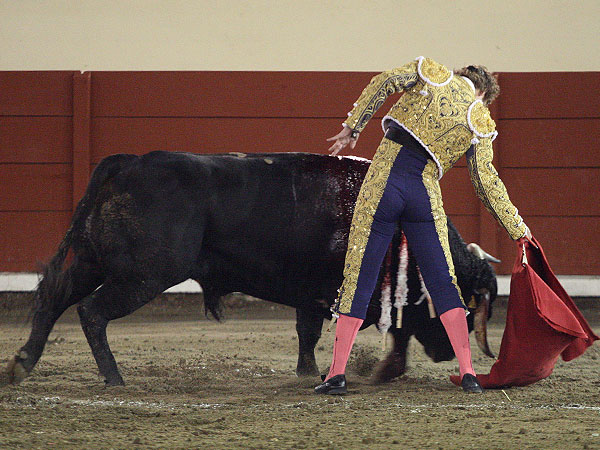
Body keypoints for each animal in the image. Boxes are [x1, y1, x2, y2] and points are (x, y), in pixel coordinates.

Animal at [2, 152, 494, 386]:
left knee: (53, 297)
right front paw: (374, 371)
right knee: (91, 312)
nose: (448, 354)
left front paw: (307, 371)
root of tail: (129, 162)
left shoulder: (313, 292)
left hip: (95, 261)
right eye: (468, 309)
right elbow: (391, 328)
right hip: (143, 274)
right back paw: (114, 378)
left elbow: (309, 331)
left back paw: (22, 364)